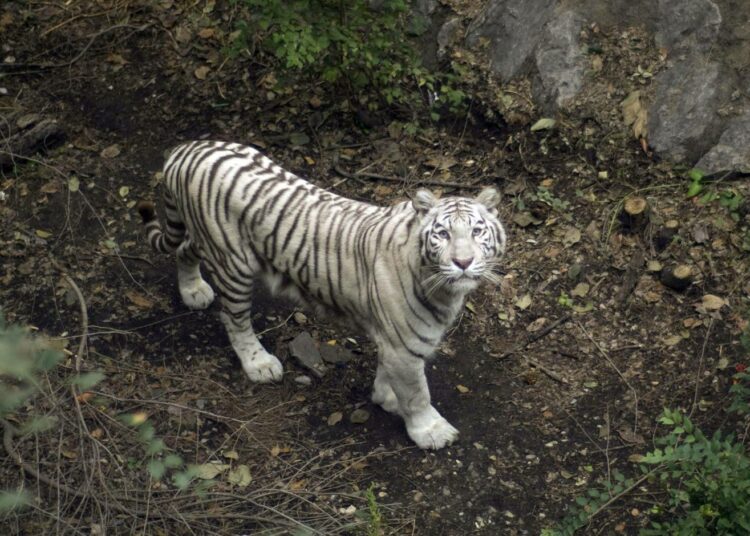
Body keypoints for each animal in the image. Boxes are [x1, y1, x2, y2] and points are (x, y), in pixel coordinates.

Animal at [138, 140, 508, 450]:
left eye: (478, 231)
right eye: (442, 234)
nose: (463, 262)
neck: (440, 286)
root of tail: (186, 149)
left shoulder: (394, 338)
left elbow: (389, 374)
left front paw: (385, 396)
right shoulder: (406, 345)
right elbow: (418, 393)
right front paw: (431, 431)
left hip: (206, 243)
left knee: (184, 250)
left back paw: (193, 291)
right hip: (232, 261)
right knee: (234, 318)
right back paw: (259, 363)